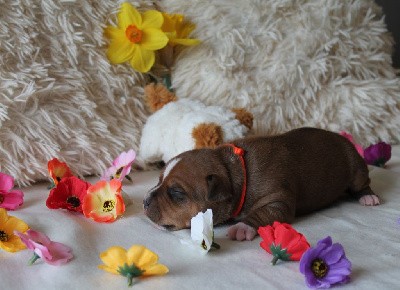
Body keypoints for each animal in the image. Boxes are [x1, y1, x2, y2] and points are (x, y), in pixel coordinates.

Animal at [143, 127, 378, 240]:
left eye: (176, 193)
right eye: (159, 180)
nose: (145, 200)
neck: (232, 170)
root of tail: (345, 138)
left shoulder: (278, 201)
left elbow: (263, 214)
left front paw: (242, 227)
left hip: (355, 168)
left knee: (362, 184)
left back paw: (368, 197)